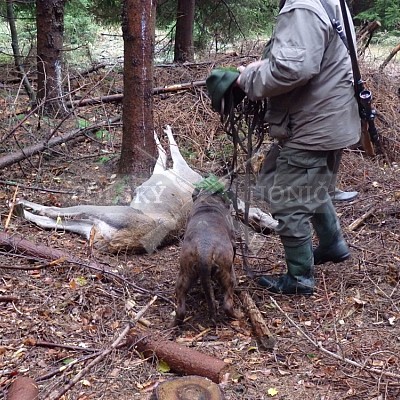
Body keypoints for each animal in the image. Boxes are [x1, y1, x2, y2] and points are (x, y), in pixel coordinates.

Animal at [173, 189, 242, 326]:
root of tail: (204, 248)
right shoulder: (233, 242)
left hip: (184, 274)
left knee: (180, 308)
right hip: (228, 275)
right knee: (227, 304)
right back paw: (238, 315)